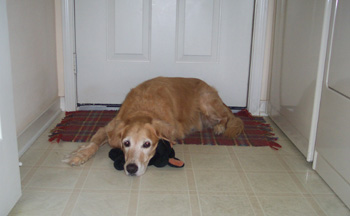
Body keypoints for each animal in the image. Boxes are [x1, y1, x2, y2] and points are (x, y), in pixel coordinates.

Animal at [63, 77, 243, 176]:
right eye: (126, 143)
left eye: (147, 144)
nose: (131, 168)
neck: (142, 109)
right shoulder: (109, 128)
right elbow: (93, 143)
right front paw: (79, 155)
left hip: (206, 102)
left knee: (227, 116)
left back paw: (220, 127)